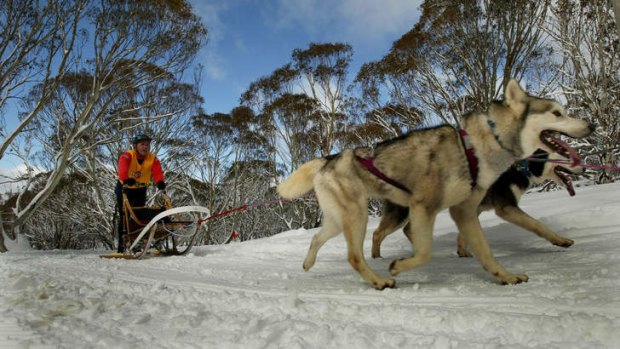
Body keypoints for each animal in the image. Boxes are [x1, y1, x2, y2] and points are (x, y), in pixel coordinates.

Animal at [372, 150, 588, 258]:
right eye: (565, 155)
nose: (585, 167)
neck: (518, 166)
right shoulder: (506, 208)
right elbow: (537, 224)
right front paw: (560, 240)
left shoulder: (472, 210)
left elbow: (463, 235)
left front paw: (462, 252)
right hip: (401, 213)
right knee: (377, 233)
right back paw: (376, 256)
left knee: (408, 230)